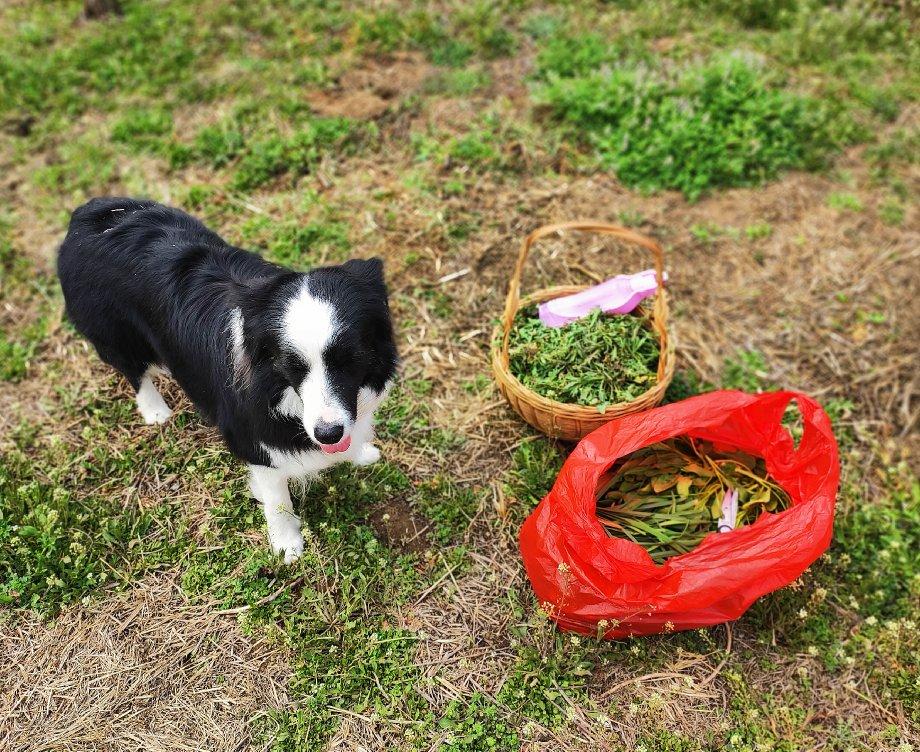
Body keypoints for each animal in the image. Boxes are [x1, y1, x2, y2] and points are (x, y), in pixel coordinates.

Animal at [59, 197, 398, 560]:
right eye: (291, 365)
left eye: (351, 359)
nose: (329, 434)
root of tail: (87, 213)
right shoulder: (255, 439)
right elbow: (277, 499)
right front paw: (286, 545)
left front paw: (361, 453)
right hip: (116, 334)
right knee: (134, 373)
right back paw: (155, 411)